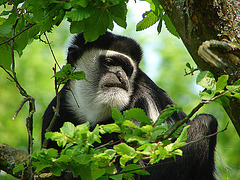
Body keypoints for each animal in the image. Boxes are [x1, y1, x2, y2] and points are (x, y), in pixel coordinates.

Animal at [42, 31, 218, 179]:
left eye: (127, 68)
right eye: (110, 62)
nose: (121, 76)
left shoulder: (140, 104)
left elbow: (133, 165)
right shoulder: (57, 109)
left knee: (205, 122)